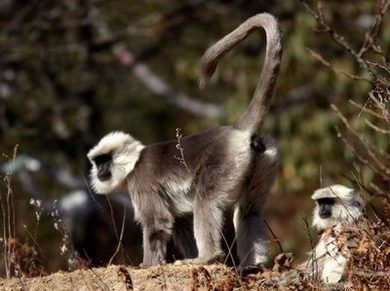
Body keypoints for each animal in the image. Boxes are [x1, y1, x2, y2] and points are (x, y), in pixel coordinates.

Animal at [87, 13, 282, 270]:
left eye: (105, 161)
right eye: (97, 162)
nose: (100, 171)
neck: (135, 161)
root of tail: (235, 130)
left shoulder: (141, 179)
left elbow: (158, 224)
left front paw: (147, 266)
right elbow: (180, 223)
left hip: (224, 161)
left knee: (206, 200)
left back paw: (208, 256)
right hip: (264, 159)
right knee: (250, 212)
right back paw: (253, 266)